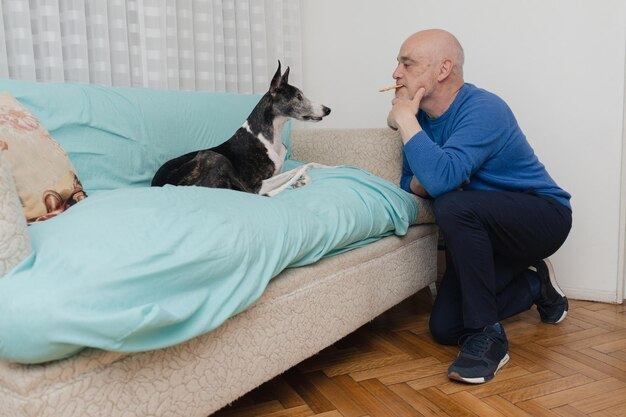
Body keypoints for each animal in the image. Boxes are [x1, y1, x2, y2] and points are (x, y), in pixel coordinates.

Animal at [150, 62, 332, 193]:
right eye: (298, 97)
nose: (328, 109)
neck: (269, 136)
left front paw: (302, 181)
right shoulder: (255, 182)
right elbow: (301, 167)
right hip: (213, 156)